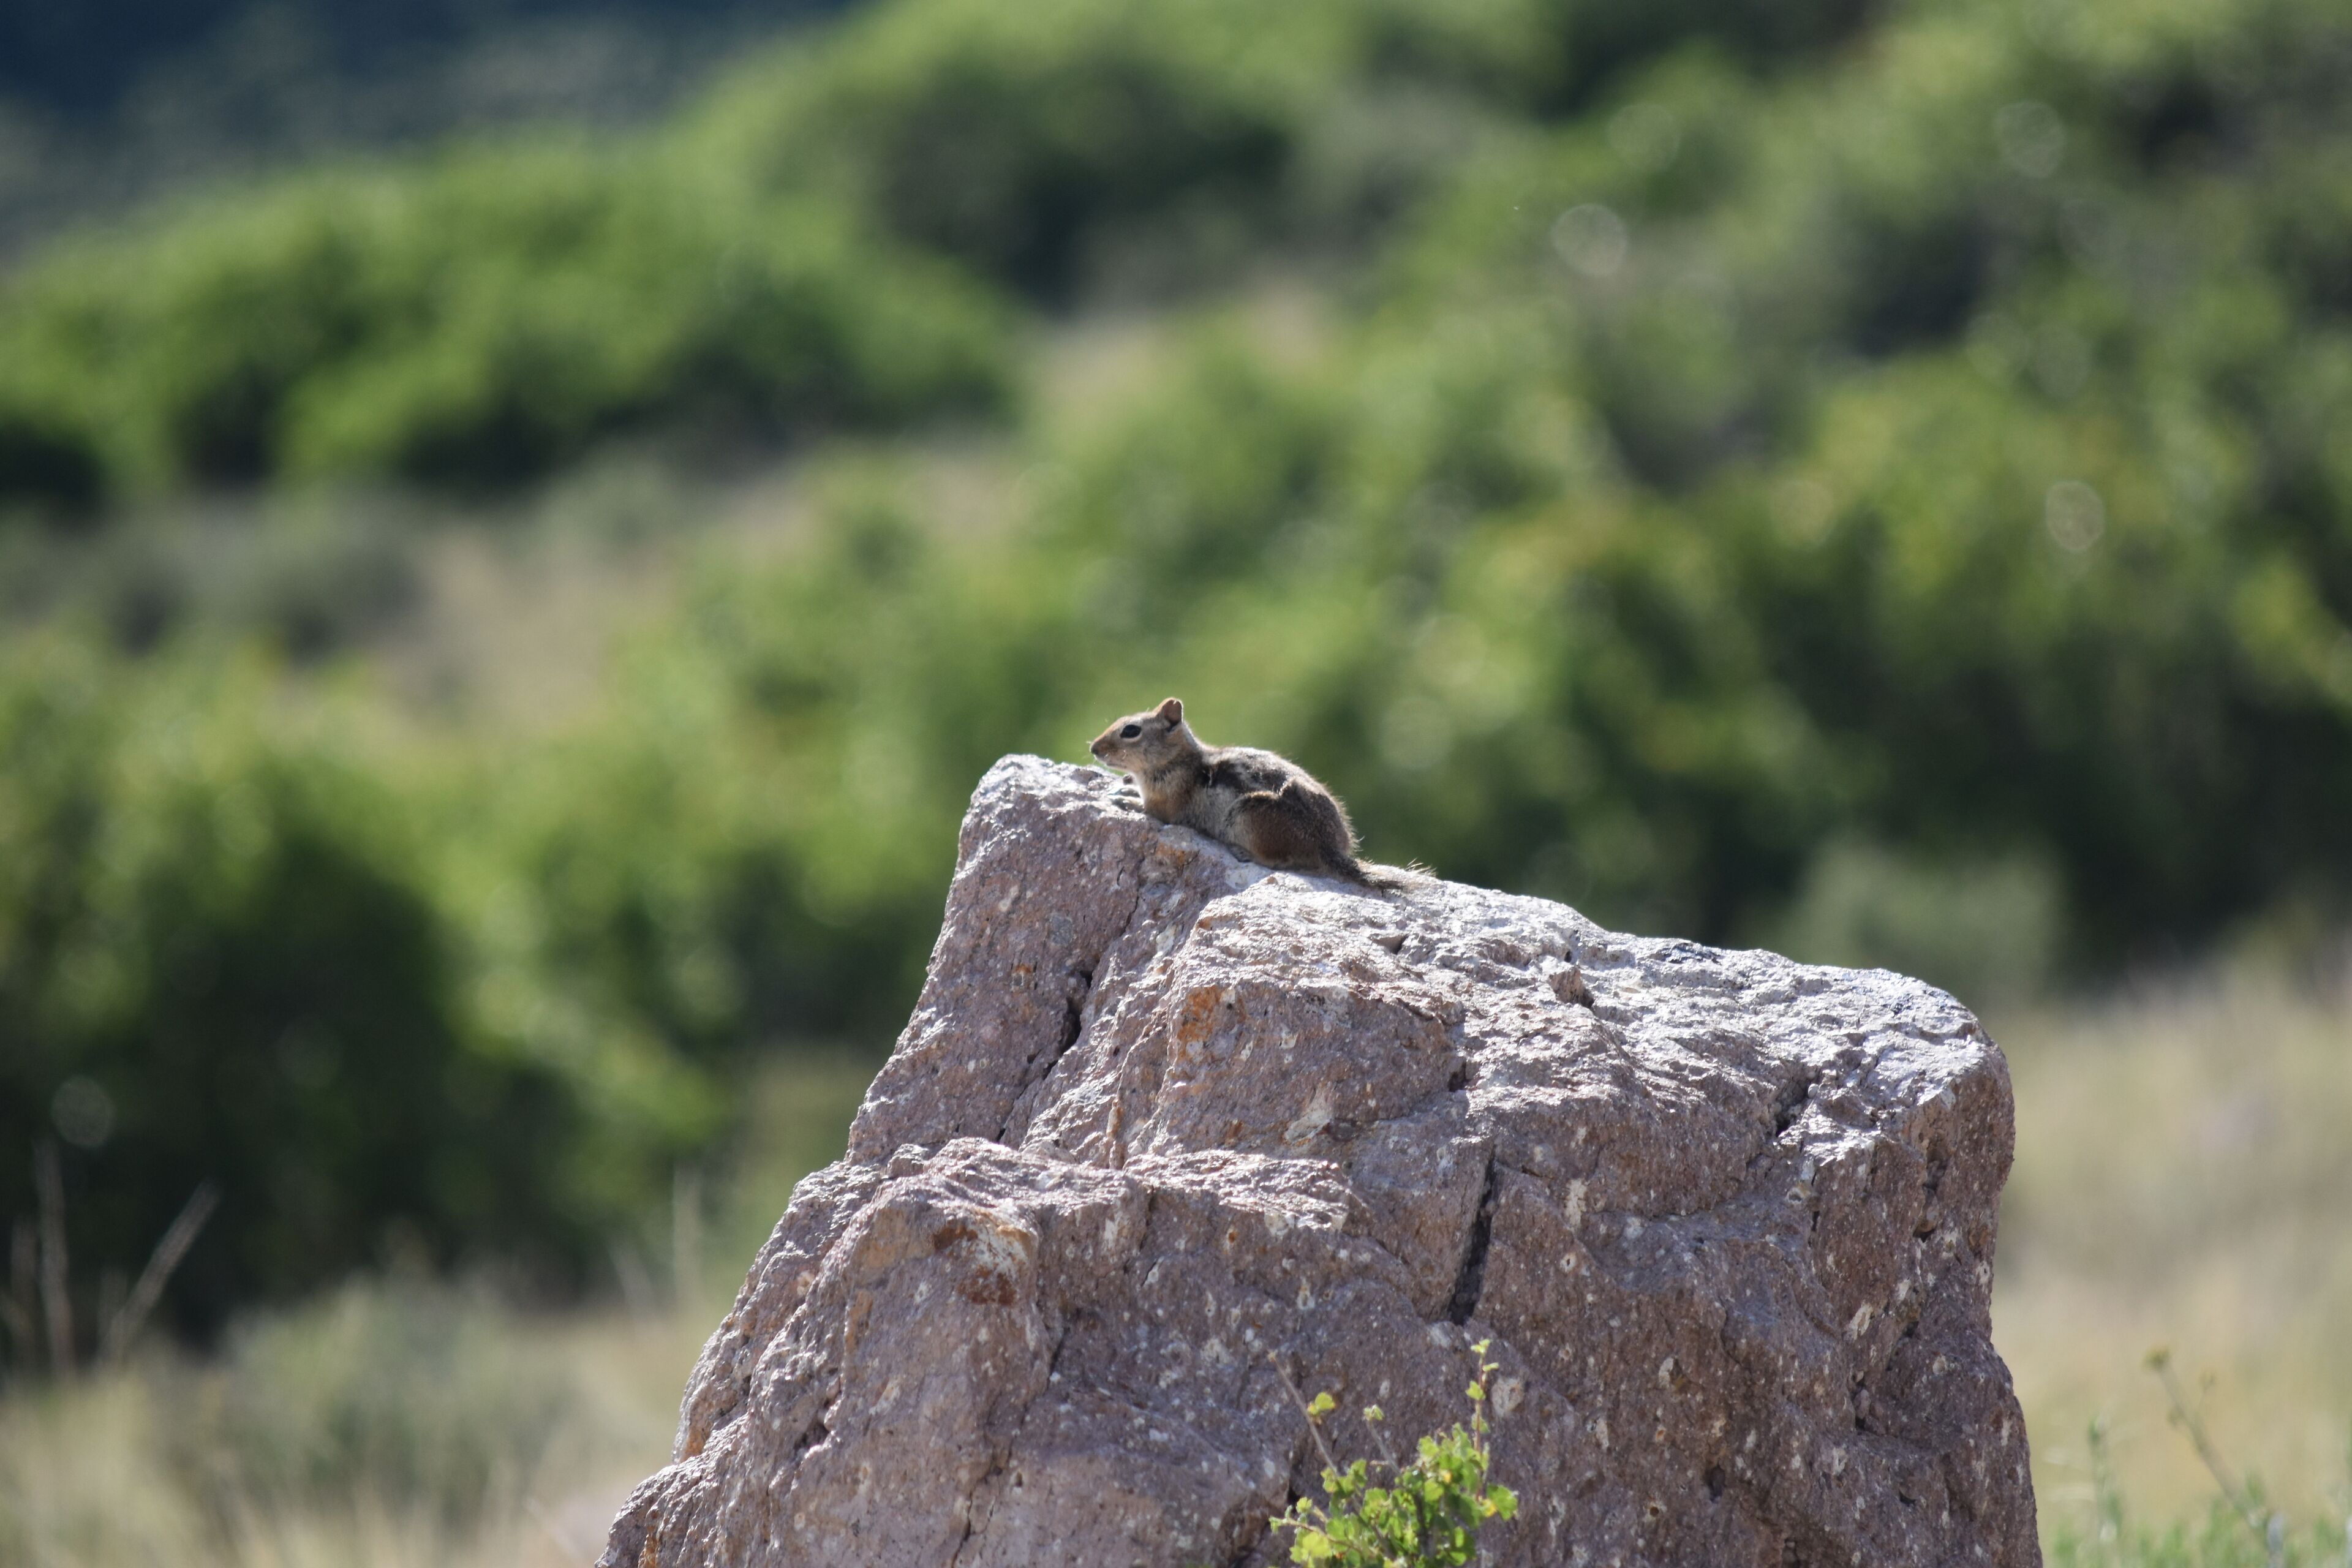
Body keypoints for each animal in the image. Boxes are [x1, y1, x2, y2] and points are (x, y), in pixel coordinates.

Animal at [1088, 698, 1415, 889]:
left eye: (1131, 731)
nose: (1093, 748)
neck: (1181, 761)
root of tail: (1329, 847)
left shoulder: (1165, 803)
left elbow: (1150, 811)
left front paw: (1124, 798)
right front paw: (1124, 787)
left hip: (1249, 816)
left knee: (1282, 862)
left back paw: (1244, 852)